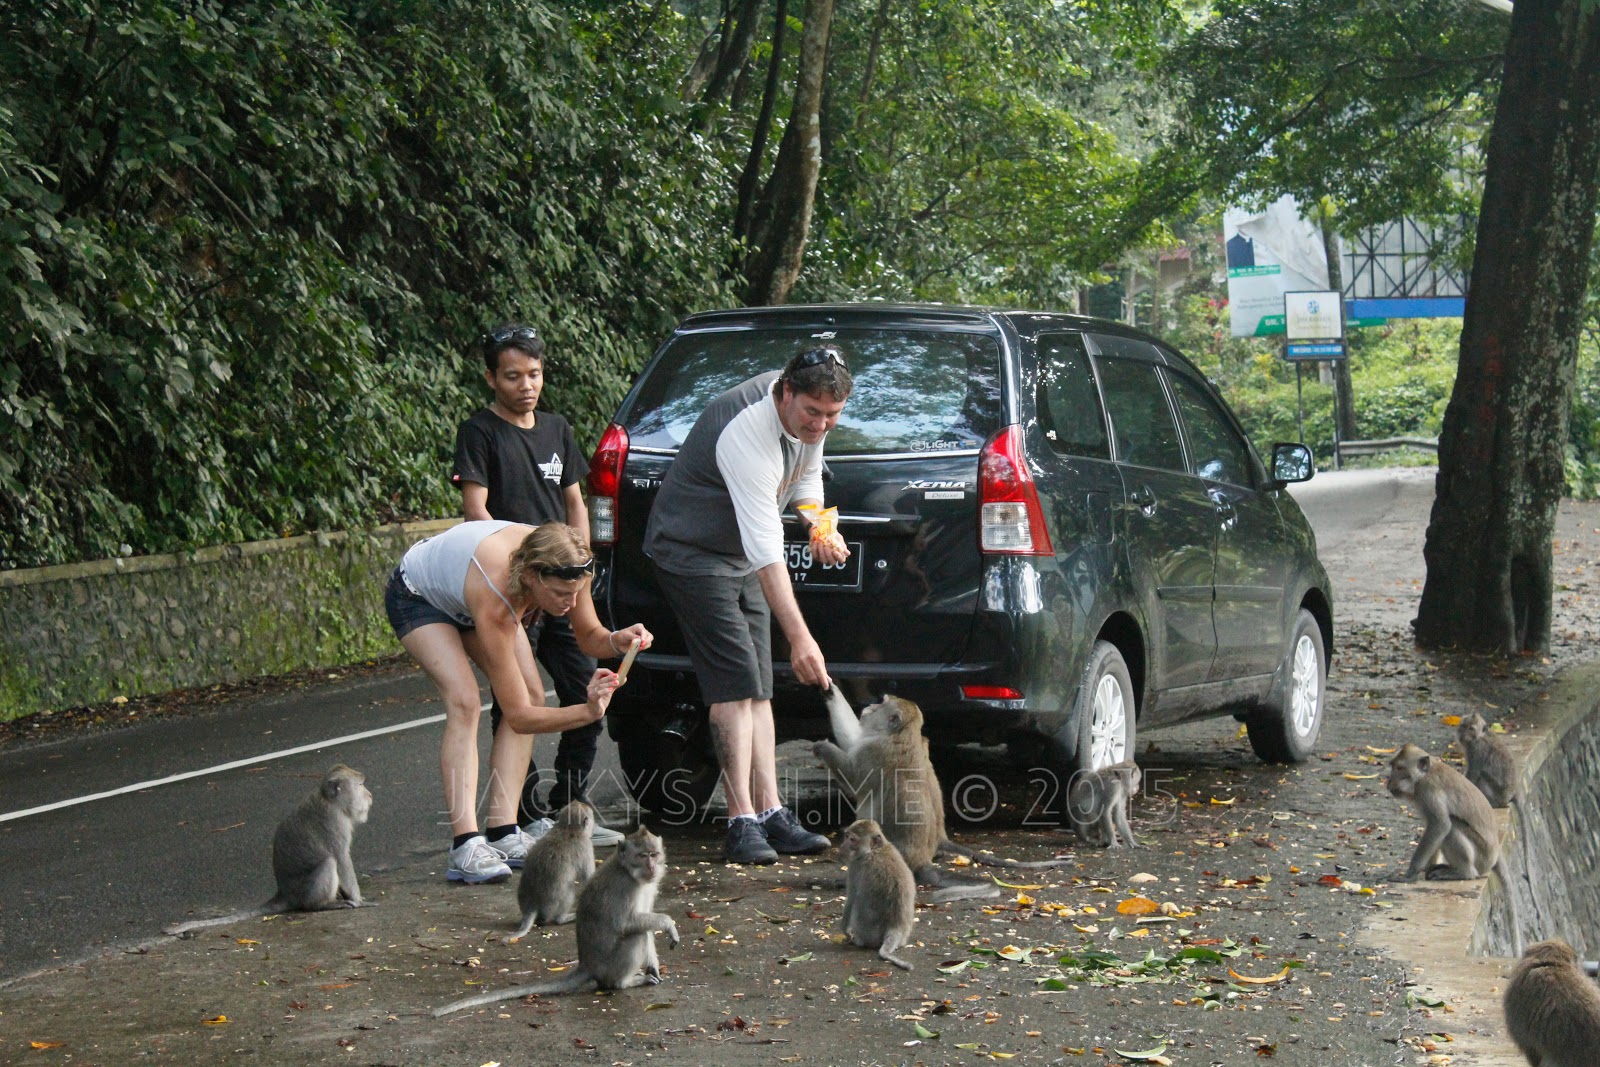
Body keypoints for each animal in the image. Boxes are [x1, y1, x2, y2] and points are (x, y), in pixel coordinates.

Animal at [165, 764, 372, 936]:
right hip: (304, 892)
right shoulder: (334, 823)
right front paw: (360, 900)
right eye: (361, 785)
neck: (330, 801)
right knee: (329, 862)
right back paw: (322, 905)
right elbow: (342, 858)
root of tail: (284, 893)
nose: (370, 795)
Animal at [433, 827, 680, 1015]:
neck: (630, 872)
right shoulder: (625, 887)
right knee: (635, 937)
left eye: (654, 854)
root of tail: (587, 964)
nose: (652, 867)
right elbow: (626, 924)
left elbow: (644, 921)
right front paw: (668, 923)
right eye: (642, 856)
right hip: (610, 967)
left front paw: (654, 964)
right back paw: (624, 983)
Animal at [510, 800, 597, 936]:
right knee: (568, 890)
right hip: (551, 906)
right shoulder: (586, 846)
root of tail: (532, 904)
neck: (567, 829)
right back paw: (562, 918)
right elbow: (588, 879)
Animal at [814, 687, 1068, 904]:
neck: (901, 735)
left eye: (883, 703)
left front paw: (822, 746)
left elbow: (852, 777)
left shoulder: (873, 752)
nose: (870, 707)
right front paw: (829, 689)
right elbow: (852, 739)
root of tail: (921, 862)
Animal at [838, 818, 917, 971]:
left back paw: (858, 941)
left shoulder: (856, 867)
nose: (842, 846)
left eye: (852, 839)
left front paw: (845, 930)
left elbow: (851, 898)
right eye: (846, 836)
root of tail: (895, 928)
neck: (875, 850)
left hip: (869, 933)